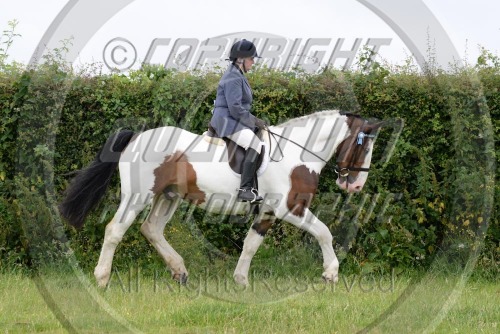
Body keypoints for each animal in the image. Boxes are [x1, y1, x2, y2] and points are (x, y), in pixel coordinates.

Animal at [60, 109, 384, 288]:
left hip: (168, 197)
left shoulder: (267, 212)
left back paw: (180, 272)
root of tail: (138, 136)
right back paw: (102, 278)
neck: (296, 153)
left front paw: (241, 281)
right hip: (139, 195)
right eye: (364, 147)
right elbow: (324, 232)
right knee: (115, 230)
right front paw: (330, 274)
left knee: (151, 229)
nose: (356, 186)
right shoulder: (290, 208)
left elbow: (251, 245)